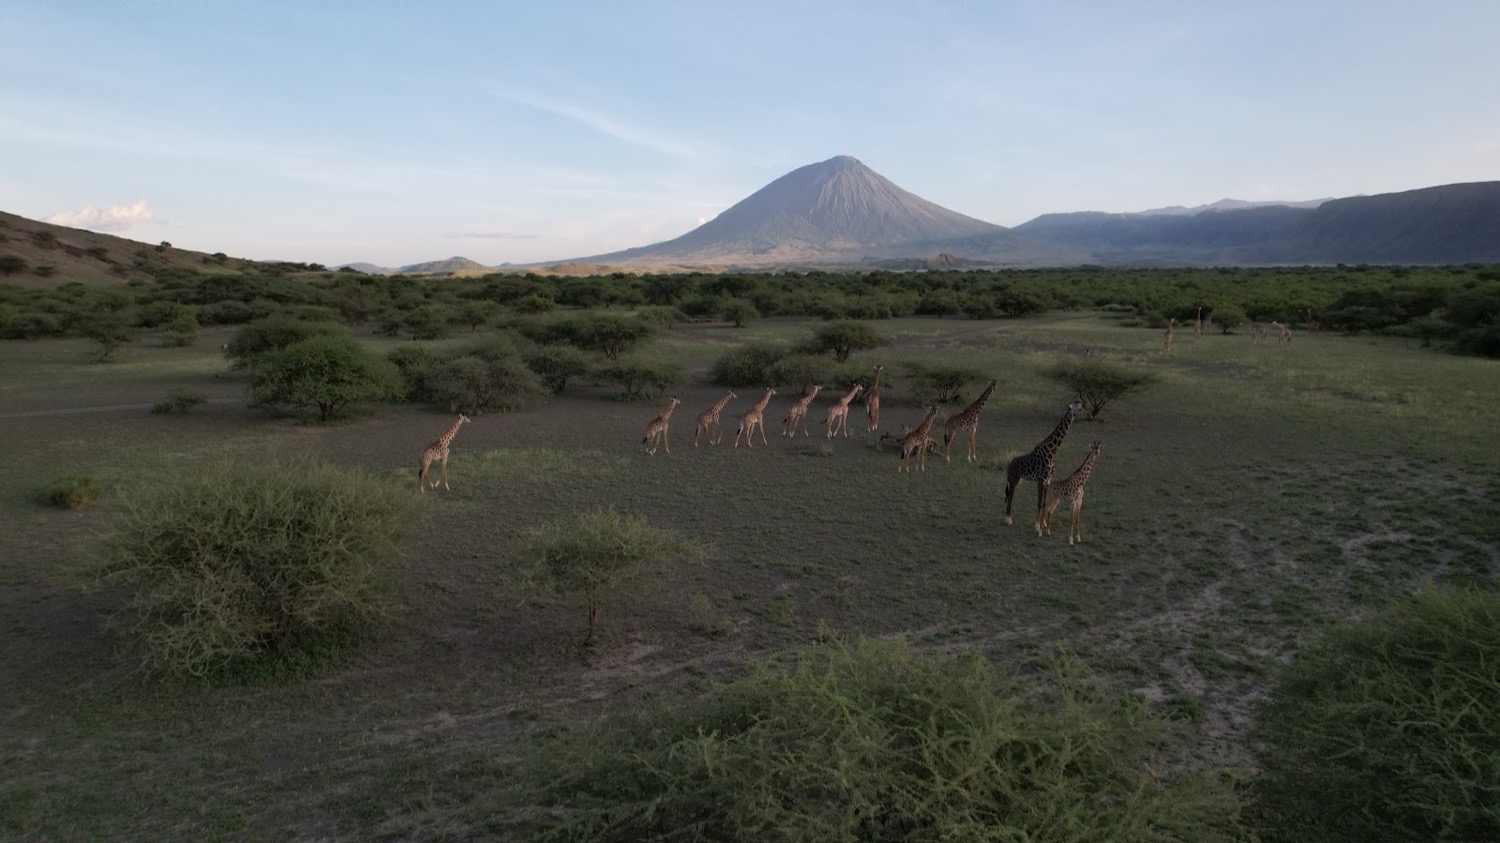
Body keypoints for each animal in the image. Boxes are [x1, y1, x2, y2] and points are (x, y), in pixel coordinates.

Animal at [1003, 400, 1085, 529]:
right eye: (1080, 409)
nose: (1088, 415)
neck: (1051, 452)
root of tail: (1008, 465)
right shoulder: (1041, 479)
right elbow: (1039, 502)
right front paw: (1037, 525)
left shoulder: (1048, 480)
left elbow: (1045, 502)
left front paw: (1044, 523)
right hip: (1013, 478)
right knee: (1010, 495)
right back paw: (1008, 519)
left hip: (1019, 480)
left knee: (1010, 494)